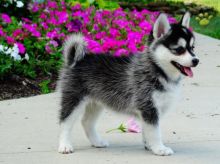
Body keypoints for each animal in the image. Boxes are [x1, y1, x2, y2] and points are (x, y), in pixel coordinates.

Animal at [57, 12, 199, 156]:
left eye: (192, 48)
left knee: (86, 122)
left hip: (96, 103)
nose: (196, 60)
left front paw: (149, 145)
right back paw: (64, 145)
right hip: (74, 99)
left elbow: (147, 130)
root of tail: (76, 60)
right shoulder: (149, 107)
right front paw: (159, 148)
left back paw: (97, 142)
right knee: (65, 123)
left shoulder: (150, 111)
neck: (157, 69)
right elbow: (154, 132)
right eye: (179, 49)